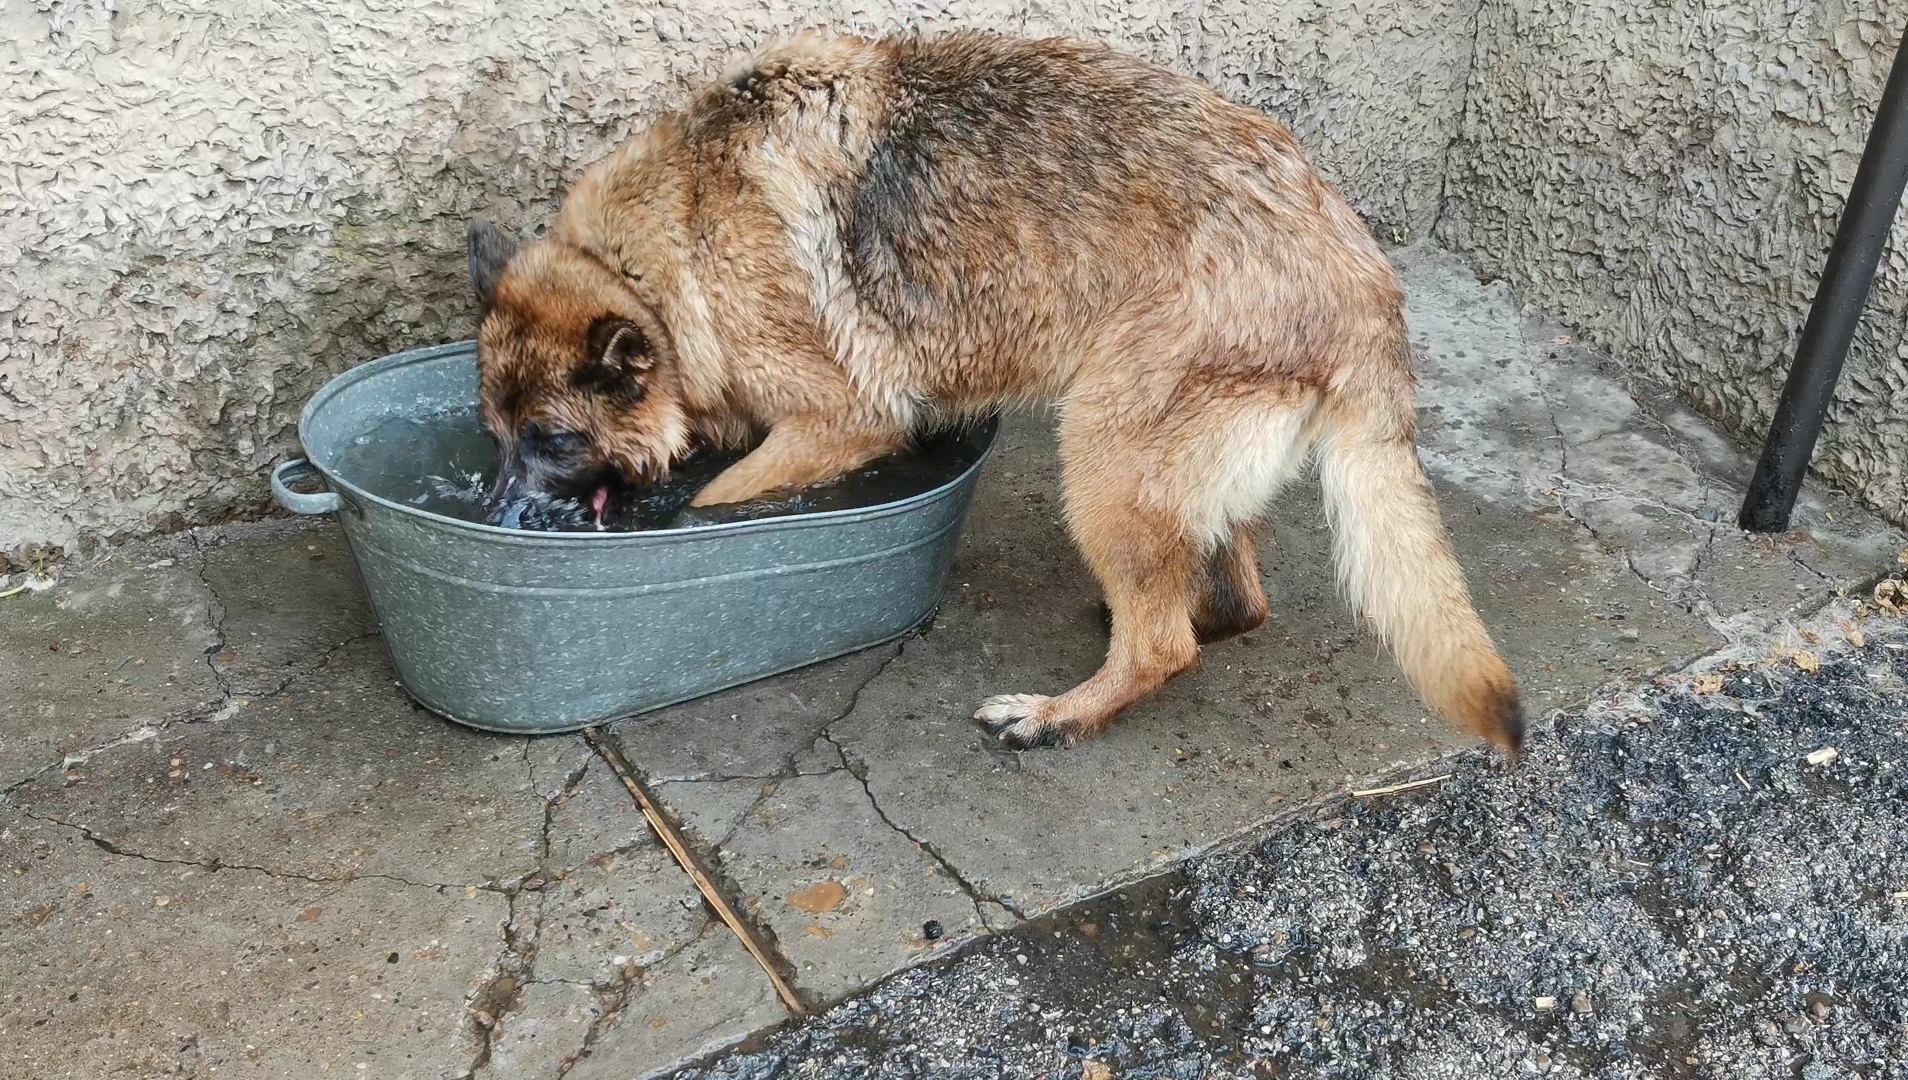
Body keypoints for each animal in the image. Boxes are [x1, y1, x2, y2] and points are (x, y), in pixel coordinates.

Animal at [469, 25, 1526, 751]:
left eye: (553, 441)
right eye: (493, 434)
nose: (497, 523)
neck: (663, 249)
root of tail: (1363, 276)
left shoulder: (841, 424)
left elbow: (716, 502)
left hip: (1101, 455)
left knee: (1164, 645)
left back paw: (1058, 716)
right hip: (1169, 468)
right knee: (1226, 601)